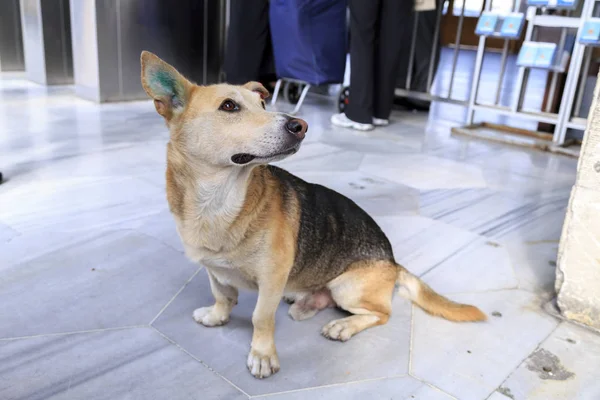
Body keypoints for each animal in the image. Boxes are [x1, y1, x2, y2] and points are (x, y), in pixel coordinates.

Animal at [141, 51, 488, 380]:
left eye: (263, 103)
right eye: (229, 106)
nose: (300, 125)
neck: (219, 201)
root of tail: (393, 263)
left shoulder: (271, 279)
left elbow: (260, 317)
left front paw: (262, 355)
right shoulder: (213, 269)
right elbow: (223, 296)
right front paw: (216, 317)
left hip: (347, 288)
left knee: (382, 313)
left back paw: (343, 326)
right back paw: (305, 301)